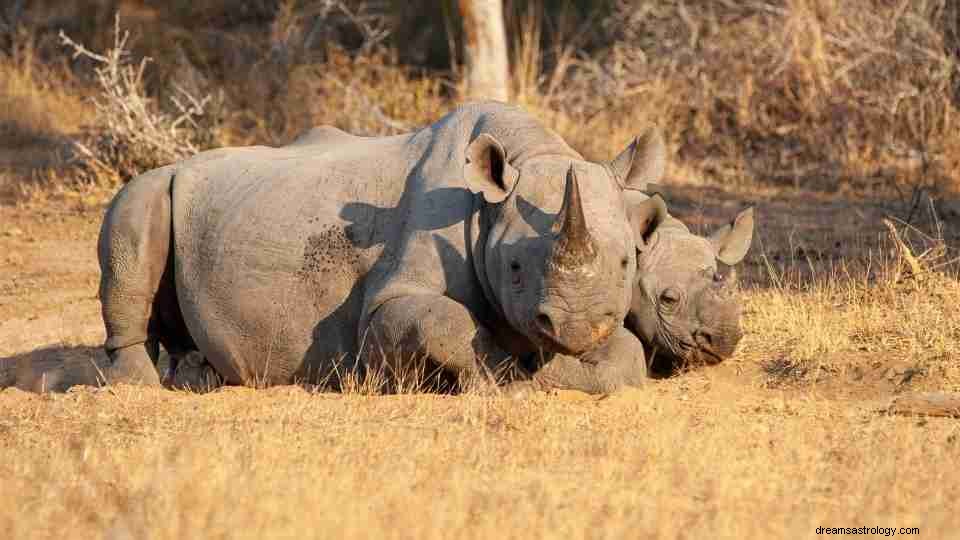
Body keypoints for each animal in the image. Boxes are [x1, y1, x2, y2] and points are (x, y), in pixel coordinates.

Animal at [97, 101, 668, 390]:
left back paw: (198, 376)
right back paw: (139, 385)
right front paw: (514, 379)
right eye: (513, 267)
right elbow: (441, 321)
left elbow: (628, 355)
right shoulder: (388, 302)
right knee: (135, 213)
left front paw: (562, 368)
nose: (574, 328)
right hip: (159, 182)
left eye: (626, 262)